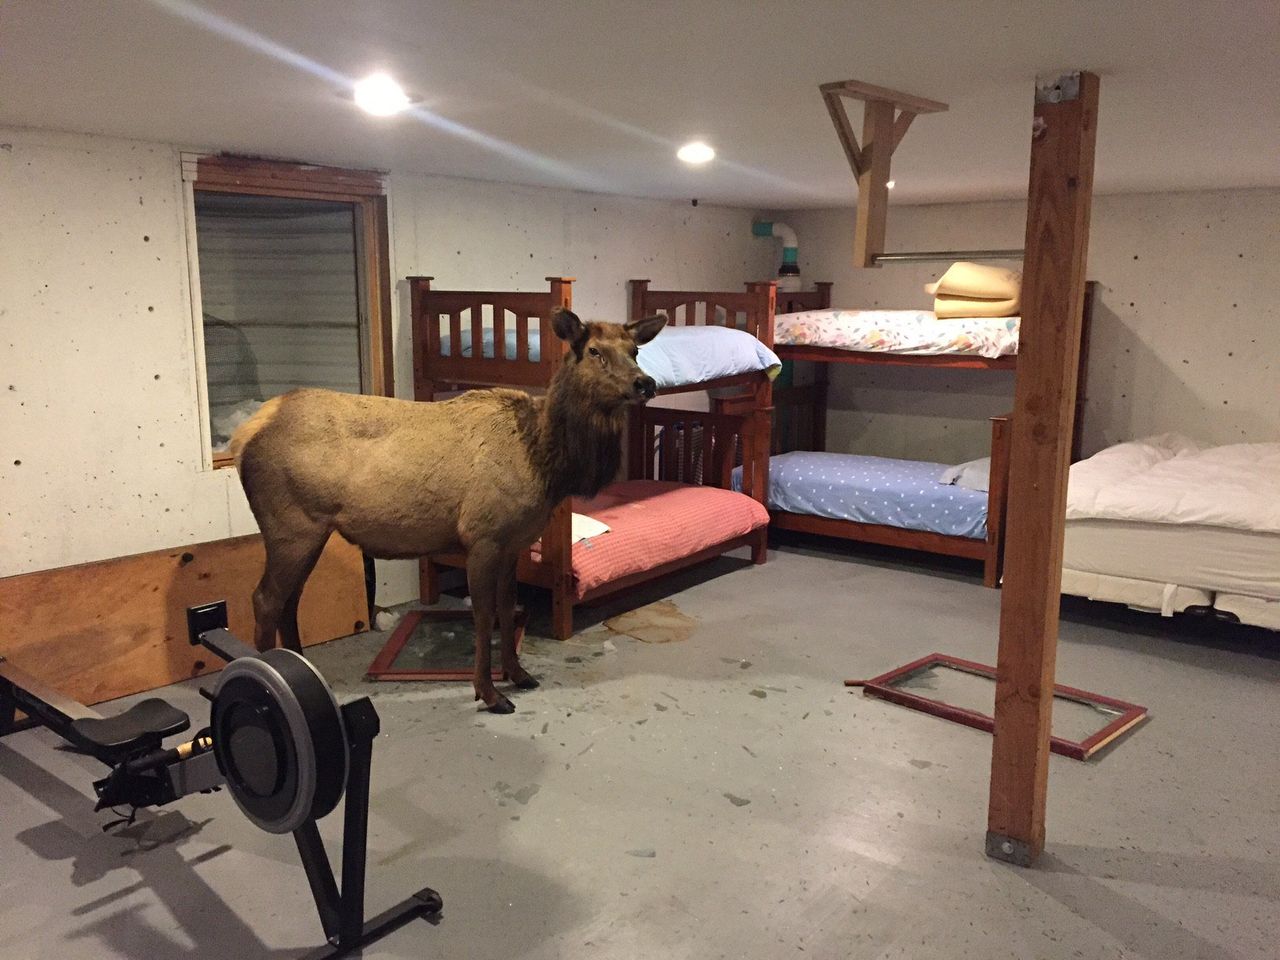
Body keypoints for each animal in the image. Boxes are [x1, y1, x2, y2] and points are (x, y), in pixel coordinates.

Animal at [230, 308, 665, 716]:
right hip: (292, 525)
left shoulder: (513, 542)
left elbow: (509, 607)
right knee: (266, 599)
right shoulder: (483, 536)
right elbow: (484, 615)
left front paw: (518, 673)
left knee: (290, 600)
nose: (645, 382)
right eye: (594, 351)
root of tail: (244, 436)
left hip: (308, 532)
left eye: (634, 349)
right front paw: (489, 692)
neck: (543, 461)